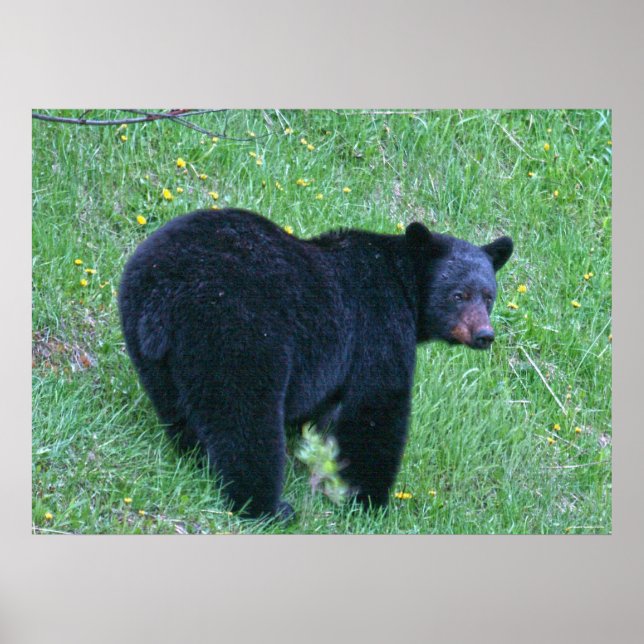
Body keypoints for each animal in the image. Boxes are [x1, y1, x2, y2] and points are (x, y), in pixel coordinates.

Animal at [118, 208, 513, 520]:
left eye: (488, 296)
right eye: (458, 294)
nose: (484, 335)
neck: (404, 288)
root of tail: (166, 295)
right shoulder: (378, 326)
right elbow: (377, 408)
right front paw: (370, 501)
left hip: (147, 341)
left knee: (176, 406)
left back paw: (196, 459)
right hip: (238, 332)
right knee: (245, 418)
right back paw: (267, 507)